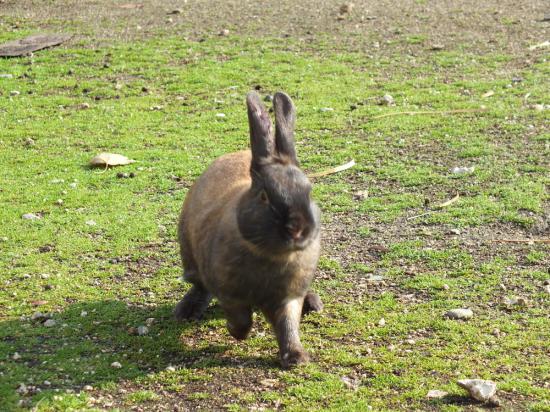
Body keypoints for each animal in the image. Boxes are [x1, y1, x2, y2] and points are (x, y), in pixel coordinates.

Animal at [176, 90, 324, 366]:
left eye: (309, 192)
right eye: (265, 196)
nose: (298, 230)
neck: (271, 255)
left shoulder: (289, 297)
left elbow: (288, 325)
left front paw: (296, 358)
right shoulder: (230, 294)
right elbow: (241, 319)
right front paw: (237, 333)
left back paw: (314, 303)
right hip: (189, 257)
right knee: (198, 286)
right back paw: (185, 311)